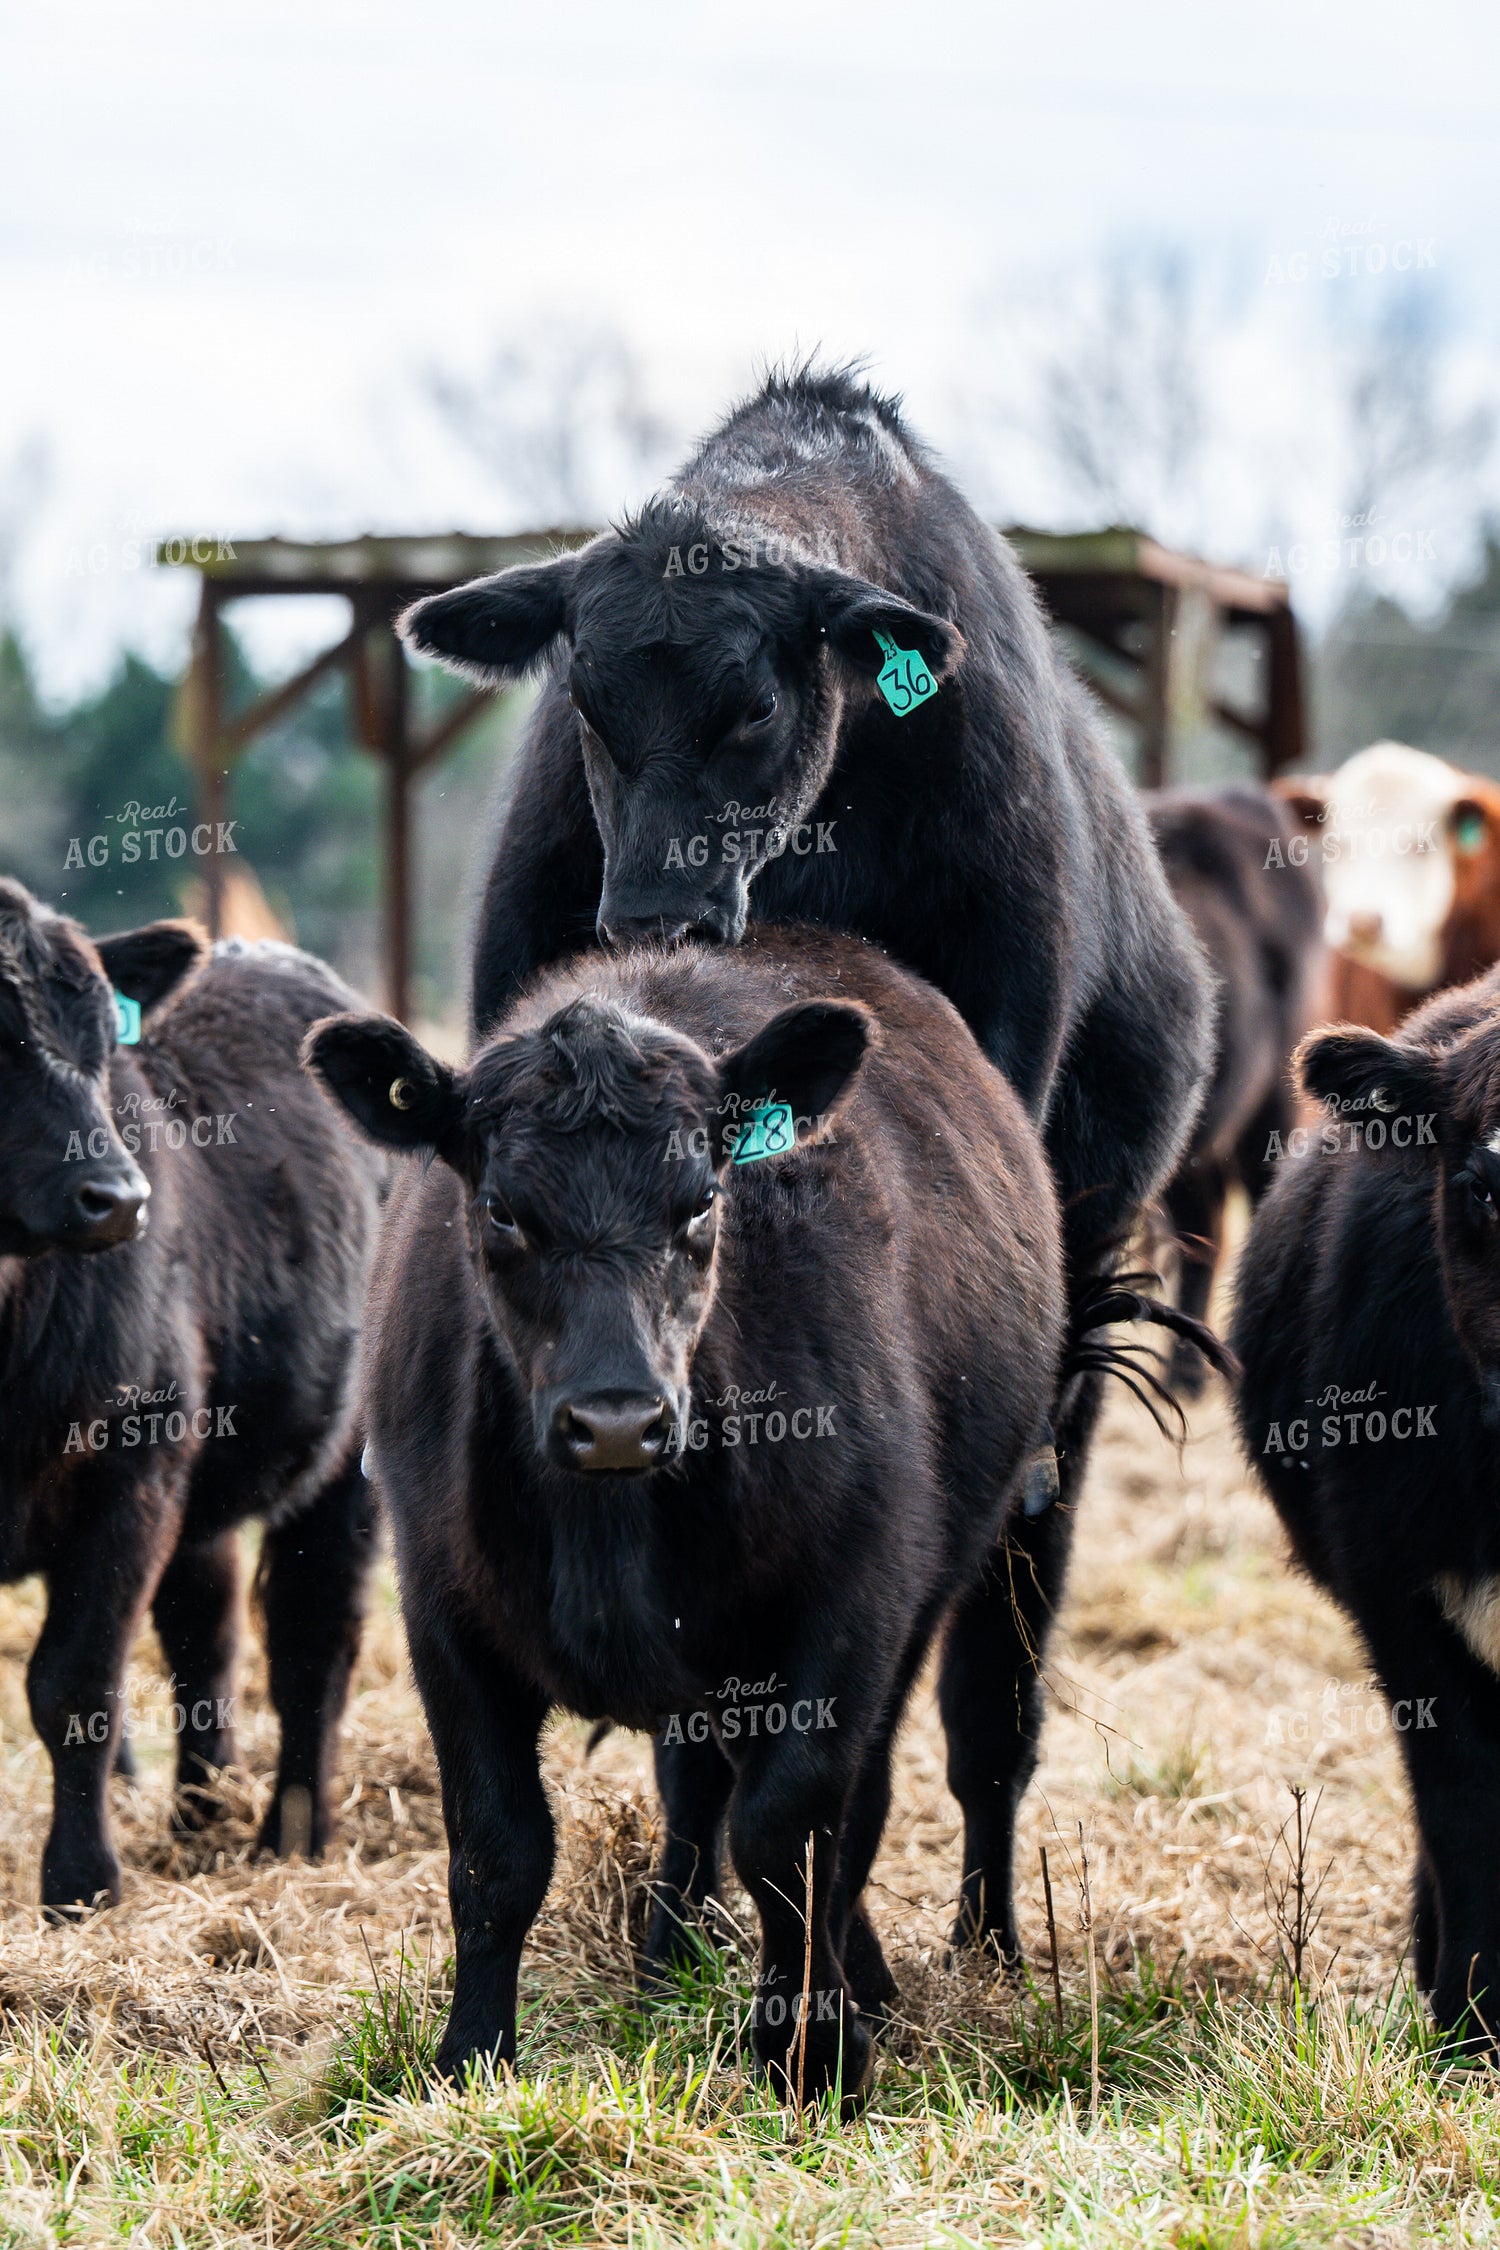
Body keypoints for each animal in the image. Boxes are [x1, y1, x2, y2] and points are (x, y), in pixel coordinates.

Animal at [0, 881, 387, 1914]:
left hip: (341, 1465)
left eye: (103, 1040)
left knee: (311, 1640)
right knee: (204, 1636)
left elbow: (76, 1684)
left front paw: (81, 1885)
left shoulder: (129, 1469)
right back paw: (199, 1814)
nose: (117, 1197)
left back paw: (292, 1836)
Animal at [305, 925, 1069, 2106]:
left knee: (851, 1810)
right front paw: (472, 2057)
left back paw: (858, 1986)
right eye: (501, 1211)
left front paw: (811, 2055)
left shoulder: (848, 1611)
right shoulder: (443, 1614)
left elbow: (790, 1835)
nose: (616, 1420)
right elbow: (497, 1847)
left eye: (703, 1203)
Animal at [395, 365, 1214, 1968]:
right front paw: (674, 1922)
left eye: (755, 702)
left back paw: (983, 1935)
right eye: (584, 700)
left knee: (987, 1686)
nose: (651, 910)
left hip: (1073, 1352)